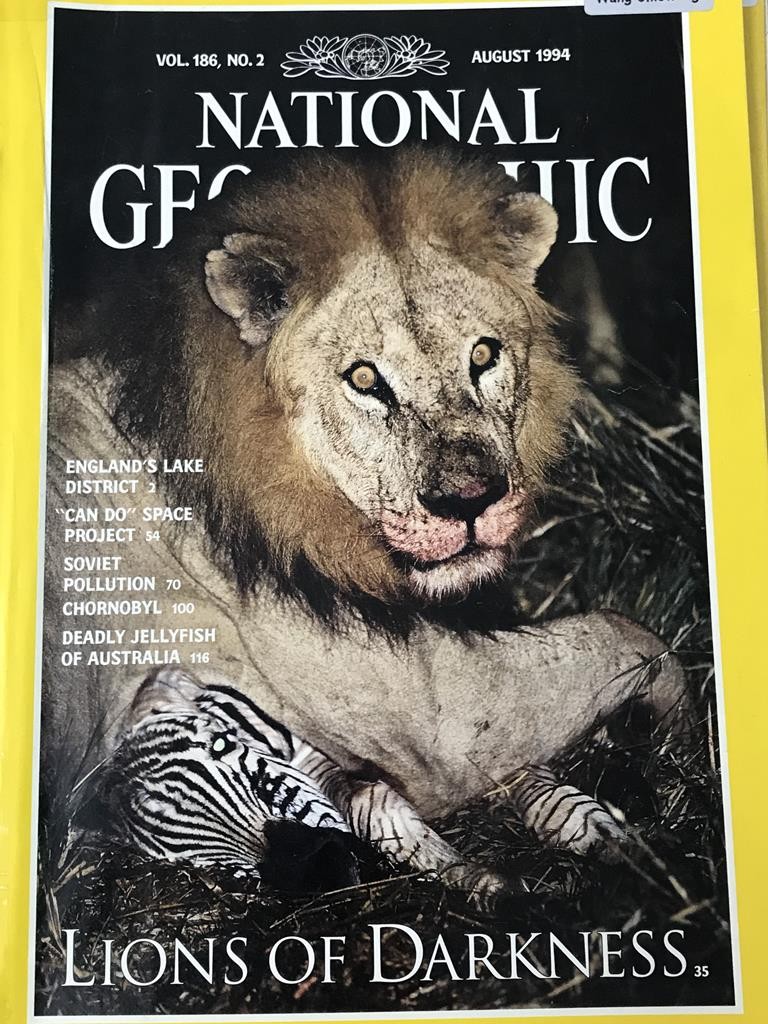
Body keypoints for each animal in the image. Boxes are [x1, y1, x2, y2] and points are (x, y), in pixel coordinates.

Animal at [43, 151, 687, 895]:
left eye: (484, 356)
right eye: (363, 379)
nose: (471, 499)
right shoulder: (439, 721)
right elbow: (631, 636)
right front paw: (680, 733)